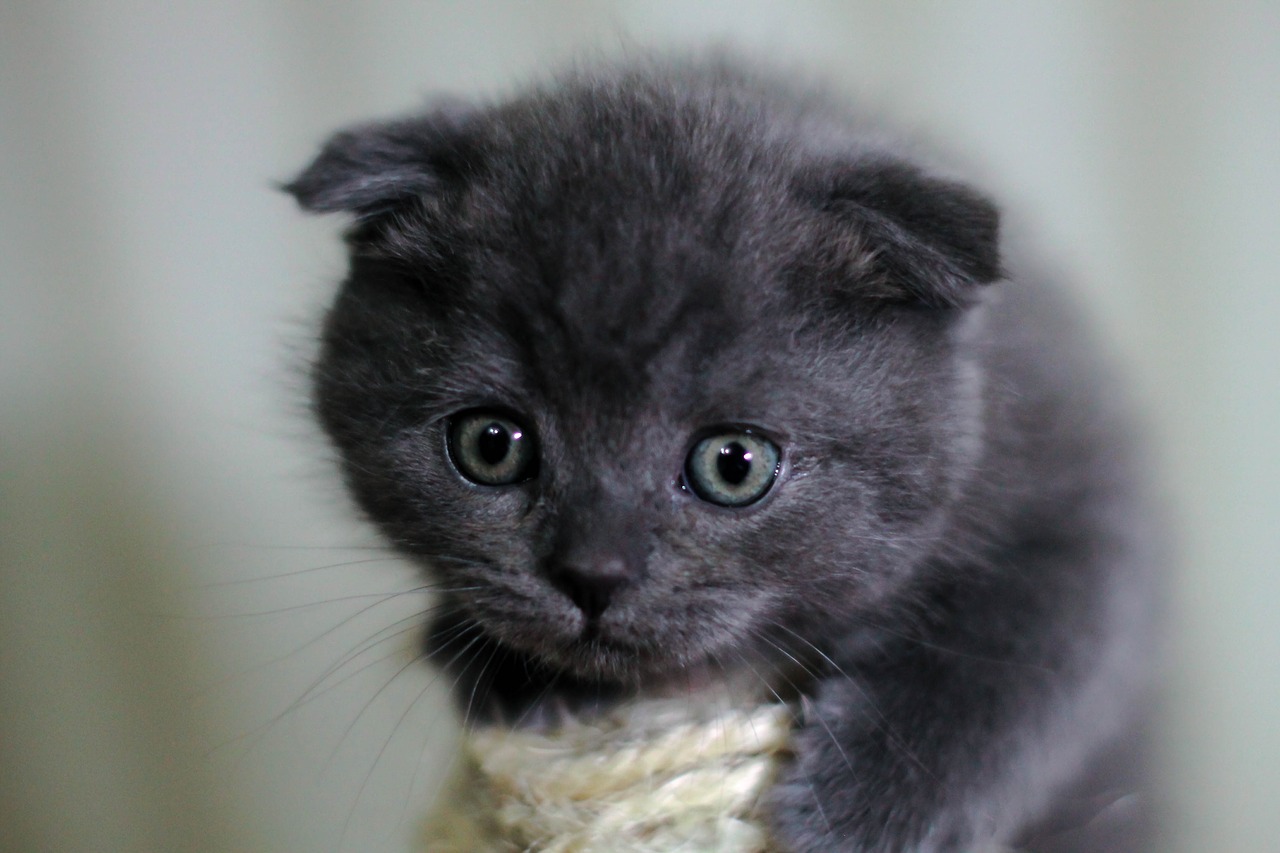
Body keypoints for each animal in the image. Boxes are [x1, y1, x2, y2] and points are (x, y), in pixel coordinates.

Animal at [288, 59, 1162, 850]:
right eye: (491, 445)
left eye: (733, 464)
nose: (593, 574)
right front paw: (510, 671)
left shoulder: (1086, 490)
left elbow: (1029, 647)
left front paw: (869, 807)